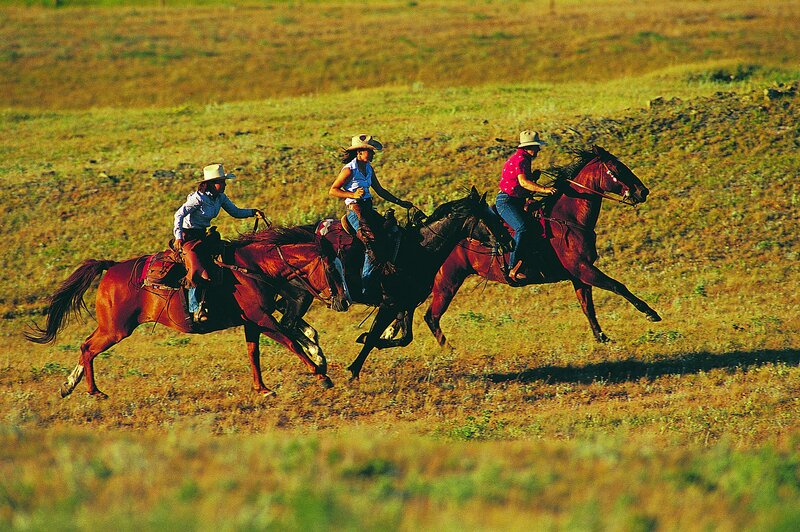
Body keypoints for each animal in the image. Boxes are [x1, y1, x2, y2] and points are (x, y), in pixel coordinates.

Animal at [25, 227, 350, 398]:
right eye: (332, 269)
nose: (344, 302)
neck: (252, 268)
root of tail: (112, 267)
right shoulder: (262, 318)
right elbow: (291, 342)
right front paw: (320, 374)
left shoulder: (253, 321)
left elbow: (254, 353)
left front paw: (262, 388)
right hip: (116, 329)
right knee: (89, 349)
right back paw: (94, 391)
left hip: (110, 326)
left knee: (84, 346)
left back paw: (69, 386)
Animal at [422, 146, 662, 349]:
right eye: (617, 168)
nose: (643, 191)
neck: (568, 219)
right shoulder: (583, 269)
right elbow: (617, 286)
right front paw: (650, 313)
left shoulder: (579, 275)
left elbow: (588, 307)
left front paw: (601, 337)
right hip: (447, 283)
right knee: (431, 317)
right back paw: (450, 350)